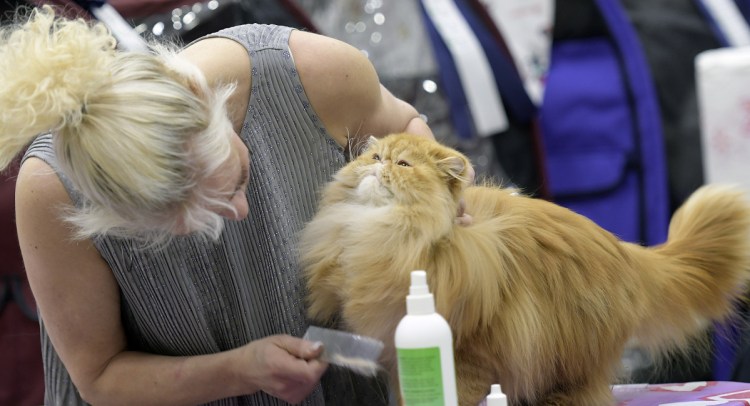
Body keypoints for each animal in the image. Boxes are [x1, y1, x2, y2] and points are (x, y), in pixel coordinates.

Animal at [300, 132, 750, 404]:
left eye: (404, 165)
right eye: (375, 156)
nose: (380, 164)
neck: (391, 233)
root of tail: (627, 252)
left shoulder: (468, 354)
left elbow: (460, 393)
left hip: (567, 353)